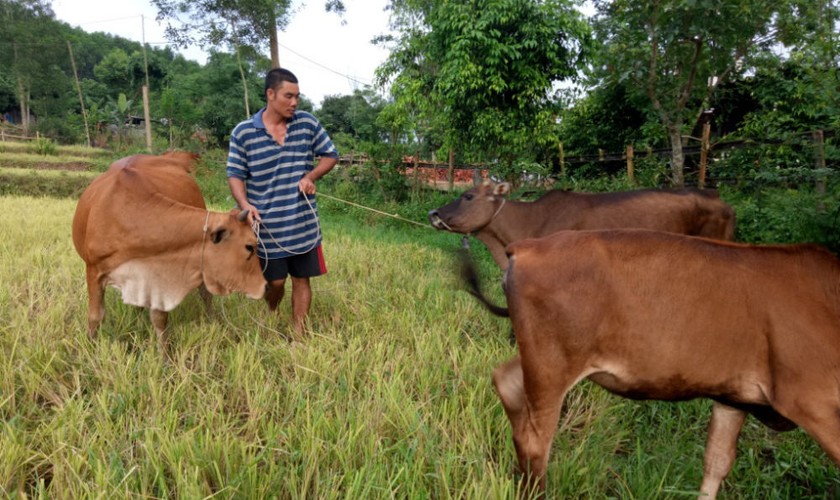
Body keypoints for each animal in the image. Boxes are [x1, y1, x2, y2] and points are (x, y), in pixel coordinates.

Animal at [75, 152, 268, 352]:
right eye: (250, 246)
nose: (263, 285)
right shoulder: (94, 270)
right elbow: (95, 316)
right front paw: (90, 346)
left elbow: (159, 318)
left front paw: (165, 354)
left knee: (205, 293)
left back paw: (212, 320)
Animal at [462, 229, 840, 496]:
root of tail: (526, 247)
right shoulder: (812, 400)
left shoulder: (733, 396)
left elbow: (716, 462)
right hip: (551, 363)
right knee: (536, 439)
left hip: (541, 358)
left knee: (506, 381)